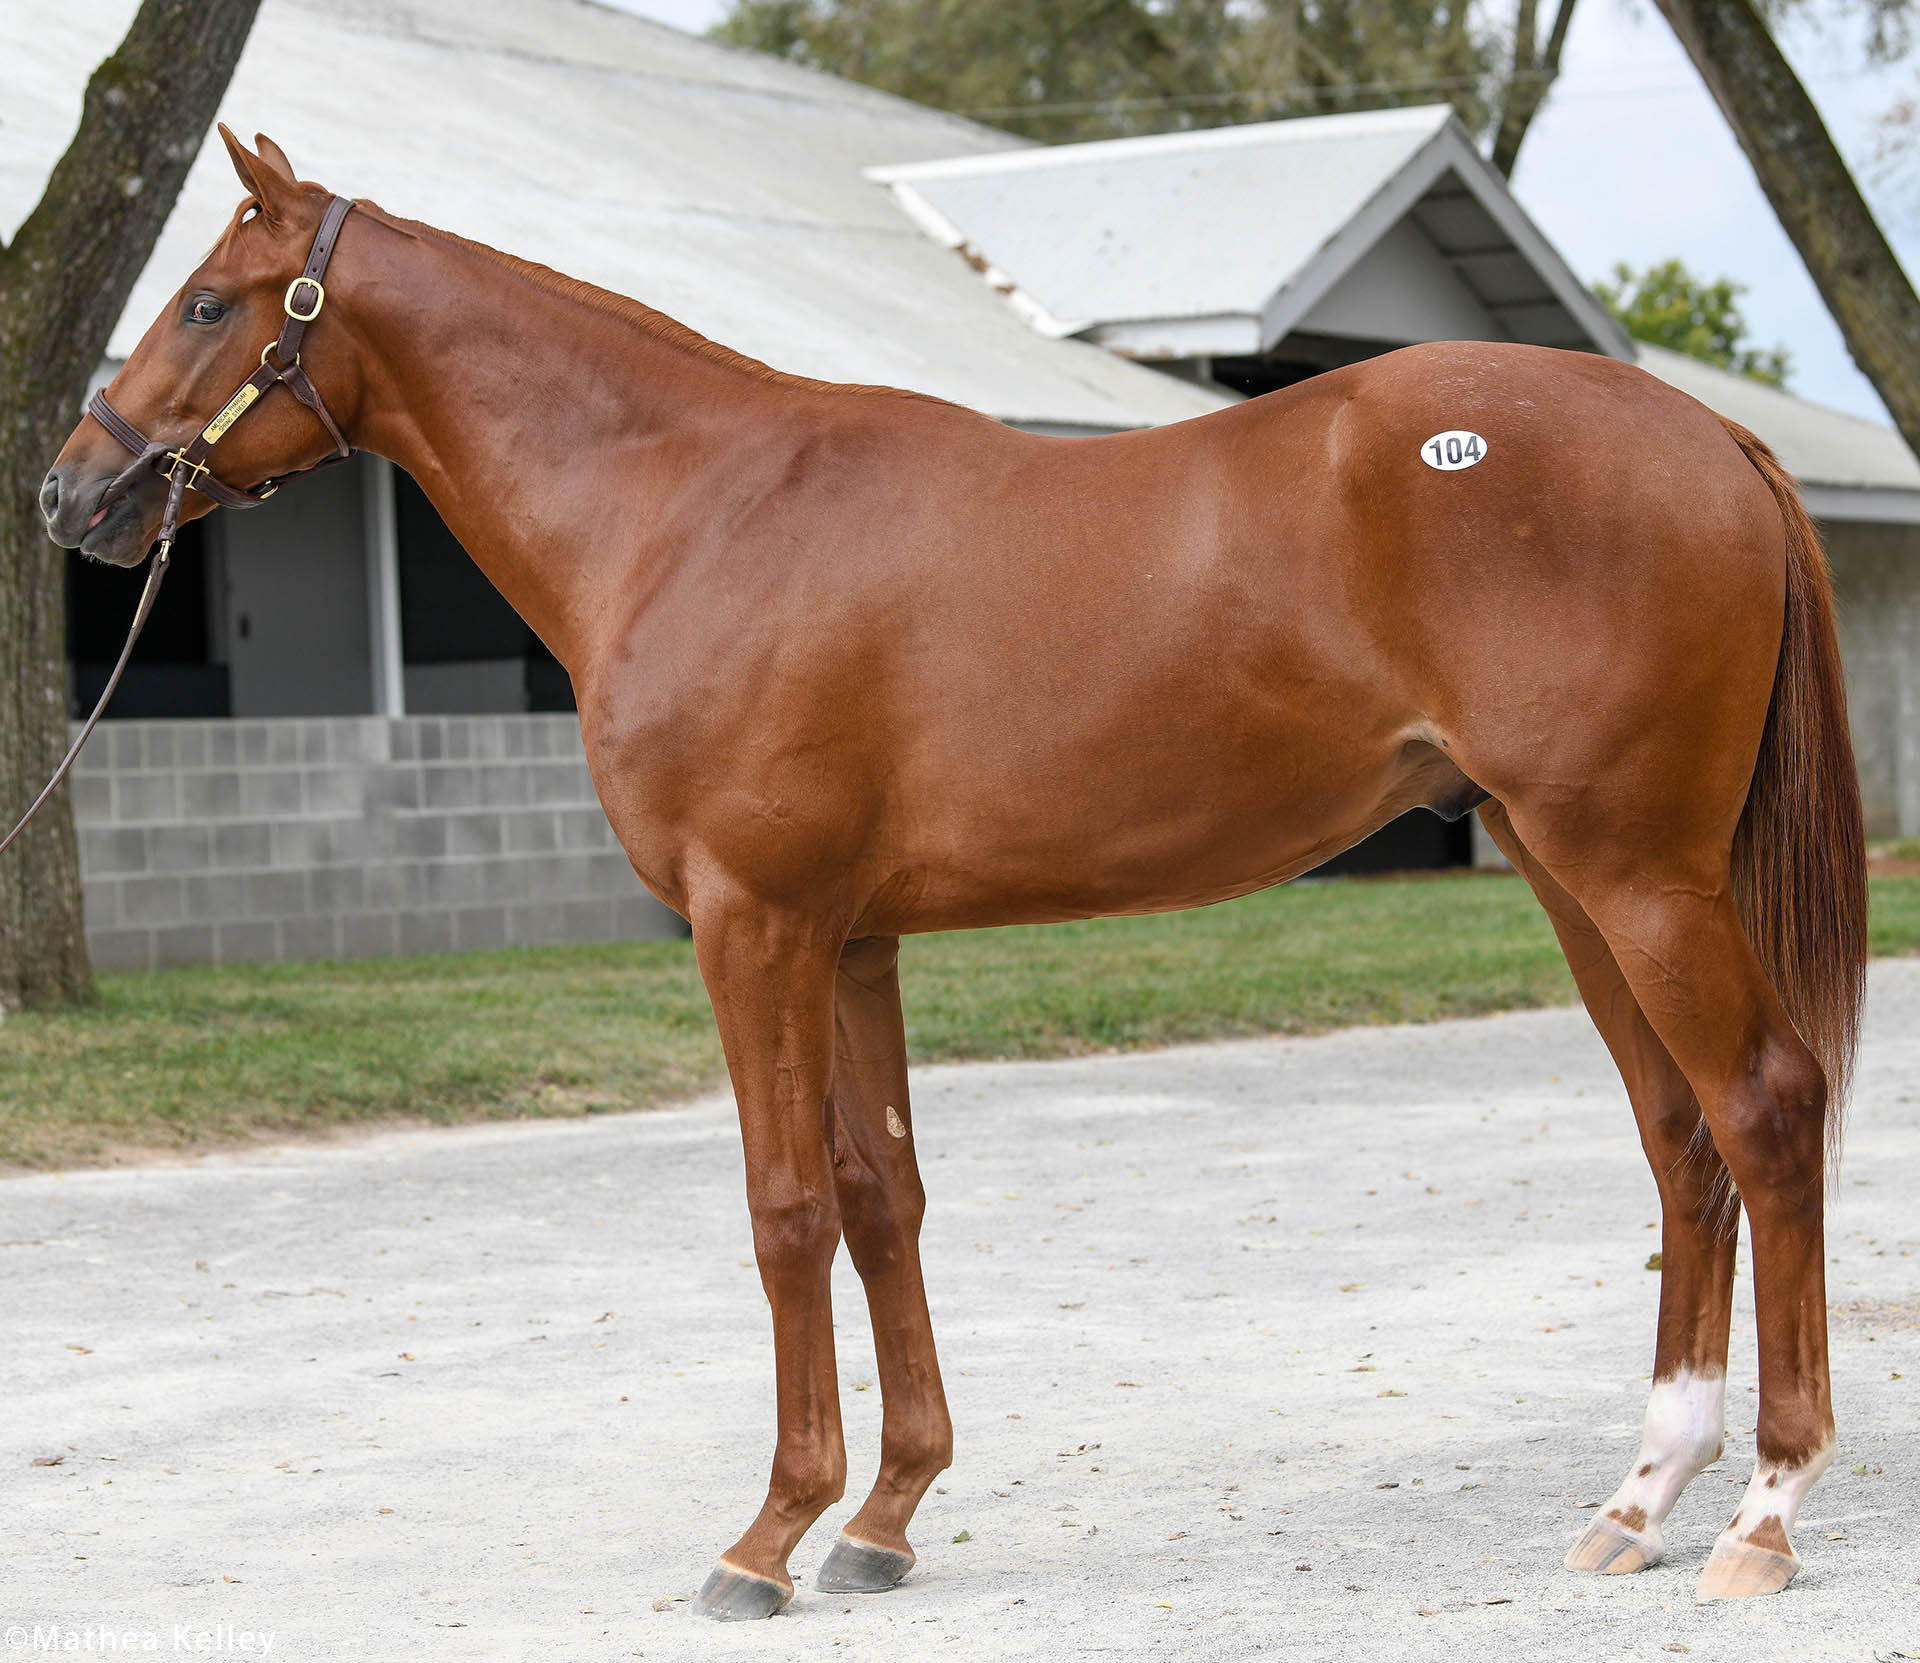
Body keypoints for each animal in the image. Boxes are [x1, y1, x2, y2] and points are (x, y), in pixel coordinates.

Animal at [41, 136, 1858, 1613]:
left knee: (1764, 1107)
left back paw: (1762, 1511)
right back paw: (1641, 1496)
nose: (71, 493)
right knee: (1680, 1138)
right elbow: (879, 1198)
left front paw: (765, 1535)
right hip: (1572, 873)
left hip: (1636, 873)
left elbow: (782, 1208)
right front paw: (885, 1514)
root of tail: (1712, 437)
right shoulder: (853, 939)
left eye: (210, 302)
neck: (687, 508)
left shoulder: (752, 924)